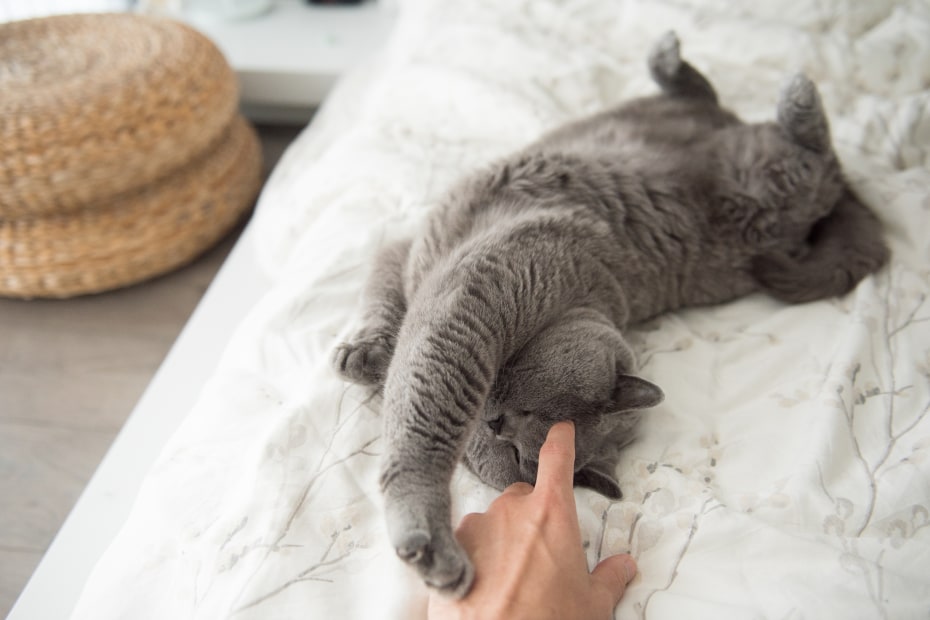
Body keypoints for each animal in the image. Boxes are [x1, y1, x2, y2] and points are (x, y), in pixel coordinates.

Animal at [330, 34, 888, 596]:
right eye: (525, 426)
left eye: (522, 453)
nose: (494, 422)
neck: (584, 299)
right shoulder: (450, 273)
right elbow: (388, 299)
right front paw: (363, 353)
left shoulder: (458, 298)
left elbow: (420, 403)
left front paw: (430, 547)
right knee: (712, 102)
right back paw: (685, 62)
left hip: (773, 181)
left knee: (817, 156)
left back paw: (790, 93)